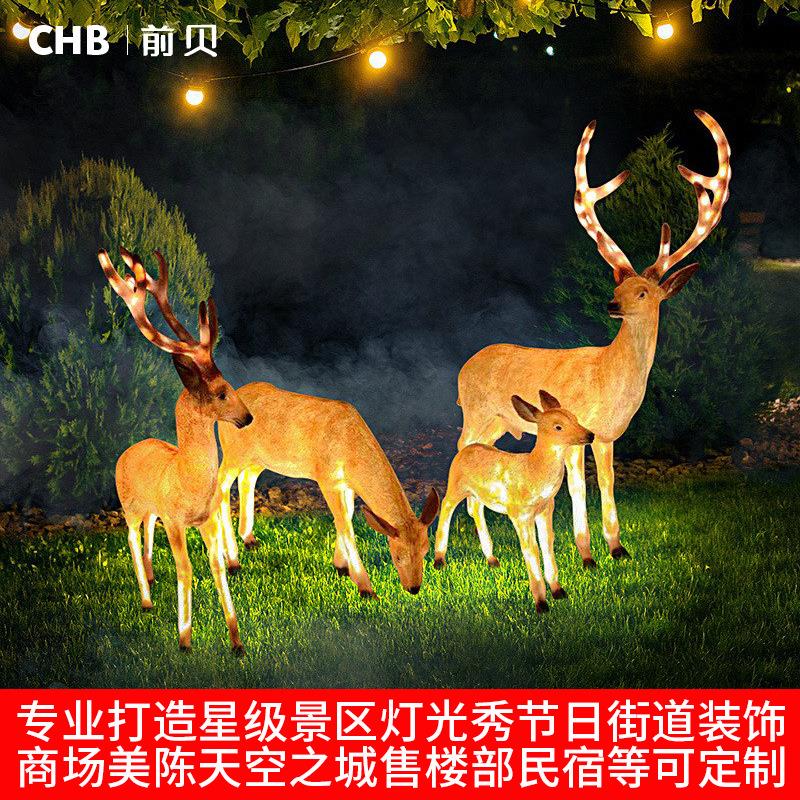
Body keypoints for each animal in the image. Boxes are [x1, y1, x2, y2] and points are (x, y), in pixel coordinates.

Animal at [98, 247, 254, 653]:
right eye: (221, 393)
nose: (248, 417)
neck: (189, 479)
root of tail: (130, 448)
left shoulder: (208, 519)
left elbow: (217, 568)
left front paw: (236, 640)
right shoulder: (175, 519)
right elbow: (186, 570)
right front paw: (184, 638)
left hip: (151, 508)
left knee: (146, 535)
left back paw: (152, 578)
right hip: (128, 504)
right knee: (132, 538)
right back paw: (146, 598)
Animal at [214, 383, 440, 597]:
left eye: (425, 550)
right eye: (398, 556)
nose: (414, 588)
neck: (350, 451)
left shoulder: (346, 484)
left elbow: (347, 516)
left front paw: (341, 566)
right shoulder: (327, 478)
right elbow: (344, 524)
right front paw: (365, 589)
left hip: (260, 458)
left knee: (247, 478)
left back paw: (249, 539)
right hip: (233, 452)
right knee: (220, 488)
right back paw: (232, 562)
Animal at [434, 110, 731, 570]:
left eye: (642, 292)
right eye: (618, 286)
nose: (611, 304)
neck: (611, 376)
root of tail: (464, 367)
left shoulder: (607, 435)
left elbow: (607, 484)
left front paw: (616, 547)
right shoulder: (575, 428)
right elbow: (577, 488)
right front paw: (586, 552)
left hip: (500, 423)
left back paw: (489, 552)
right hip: (477, 413)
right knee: (462, 462)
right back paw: (484, 554)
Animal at [436, 391, 594, 612]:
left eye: (575, 418)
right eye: (558, 427)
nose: (590, 435)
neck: (533, 471)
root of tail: (465, 449)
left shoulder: (545, 508)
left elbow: (547, 543)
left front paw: (558, 591)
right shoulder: (519, 512)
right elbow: (531, 549)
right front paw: (541, 603)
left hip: (479, 493)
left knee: (476, 510)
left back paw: (492, 559)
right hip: (456, 485)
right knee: (446, 506)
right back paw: (439, 560)